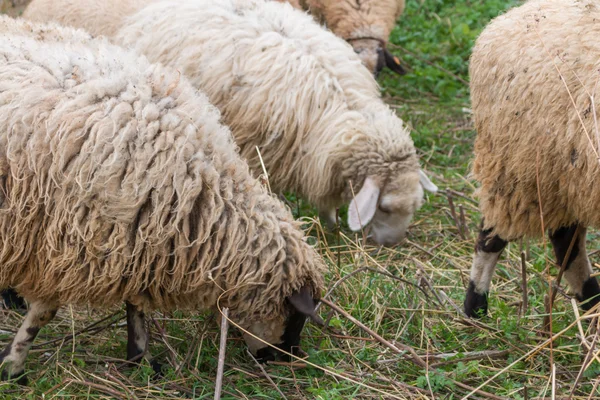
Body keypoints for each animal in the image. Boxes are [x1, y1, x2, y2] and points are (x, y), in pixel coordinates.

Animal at [0, 16, 324, 384]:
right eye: (295, 315)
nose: (289, 360)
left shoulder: (134, 241)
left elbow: (136, 307)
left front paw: (139, 360)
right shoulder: (61, 246)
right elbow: (43, 314)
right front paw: (13, 365)